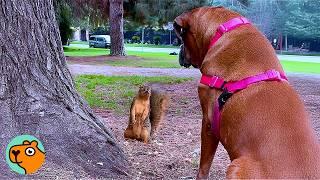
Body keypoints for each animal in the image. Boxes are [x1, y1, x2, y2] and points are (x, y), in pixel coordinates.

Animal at [175, 6, 320, 179]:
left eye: (183, 38)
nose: (179, 51)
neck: (224, 30)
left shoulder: (208, 124)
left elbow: (204, 167)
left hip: (236, 166)